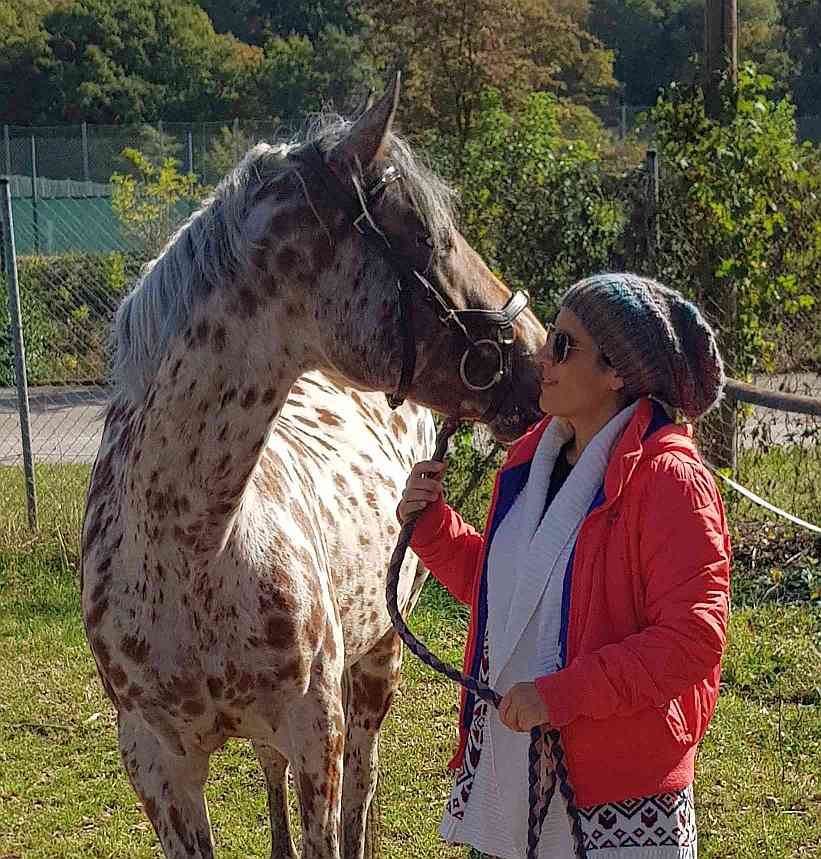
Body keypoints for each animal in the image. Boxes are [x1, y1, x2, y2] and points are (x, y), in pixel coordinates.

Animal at [81, 75, 544, 859]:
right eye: (426, 238)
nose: (542, 351)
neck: (191, 549)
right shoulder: (156, 763)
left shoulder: (315, 735)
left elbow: (336, 818)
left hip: (377, 664)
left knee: (363, 782)